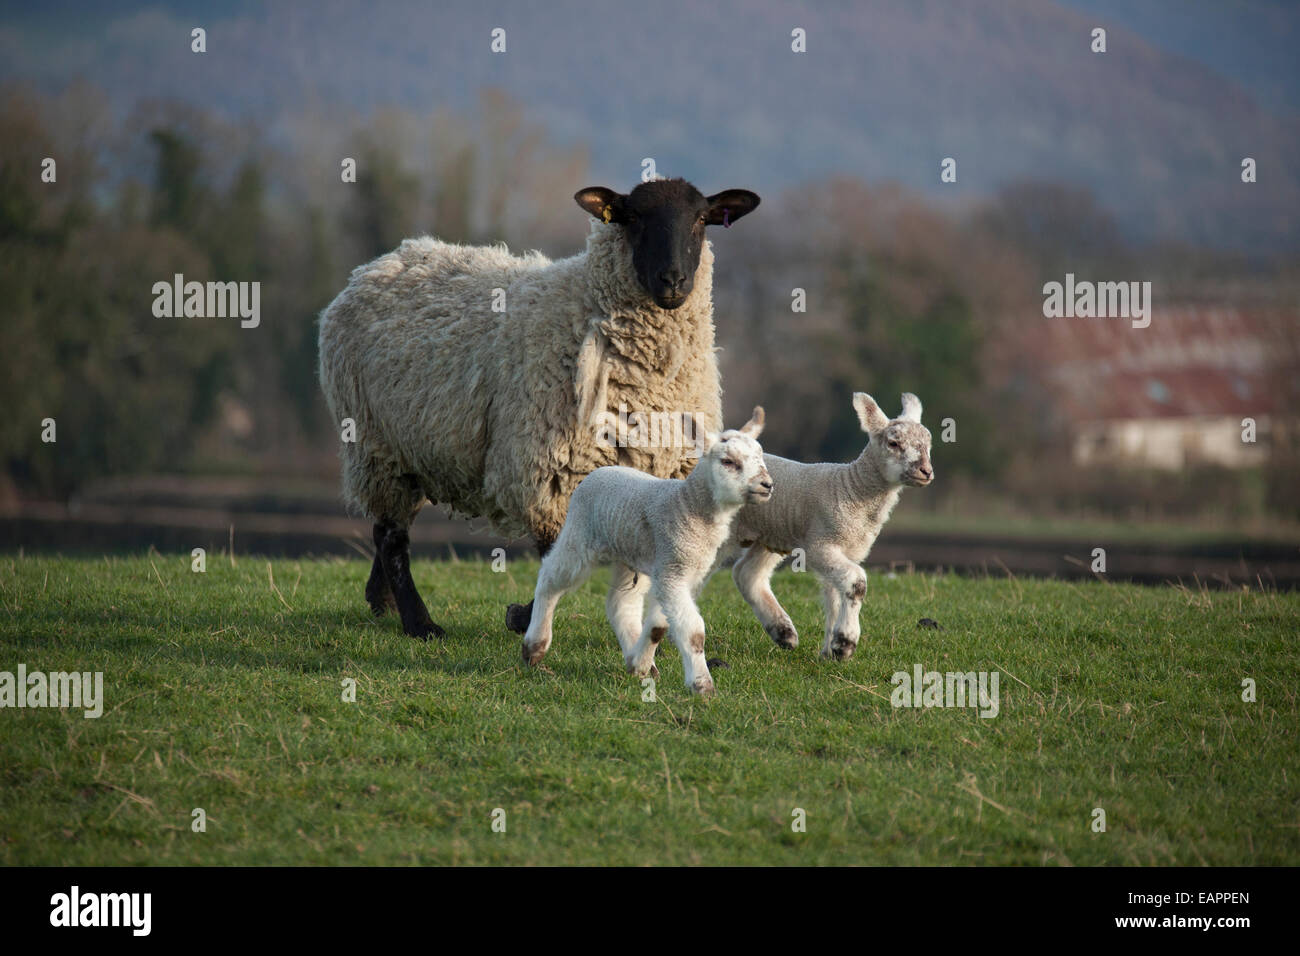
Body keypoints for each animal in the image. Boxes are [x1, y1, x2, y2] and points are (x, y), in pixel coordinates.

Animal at [317, 179, 759, 642]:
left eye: (701, 219)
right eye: (634, 217)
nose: (672, 280)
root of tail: (378, 266)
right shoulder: (552, 472)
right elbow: (554, 552)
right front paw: (521, 616)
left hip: (413, 450)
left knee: (388, 524)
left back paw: (379, 599)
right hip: (374, 443)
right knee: (392, 535)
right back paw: (420, 623)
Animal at [522, 405, 769, 697]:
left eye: (761, 457)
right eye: (728, 462)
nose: (767, 484)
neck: (687, 505)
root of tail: (603, 469)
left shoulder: (677, 572)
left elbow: (658, 626)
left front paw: (639, 664)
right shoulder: (673, 567)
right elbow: (694, 632)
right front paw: (702, 685)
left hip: (630, 554)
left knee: (621, 604)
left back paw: (637, 659)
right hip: (579, 534)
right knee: (551, 577)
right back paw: (534, 647)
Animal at [728, 392, 930, 660]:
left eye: (928, 444)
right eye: (893, 443)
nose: (926, 471)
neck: (851, 489)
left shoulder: (844, 550)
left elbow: (835, 596)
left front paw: (829, 651)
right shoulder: (820, 545)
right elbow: (856, 583)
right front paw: (845, 643)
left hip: (773, 532)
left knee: (747, 574)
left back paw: (784, 633)